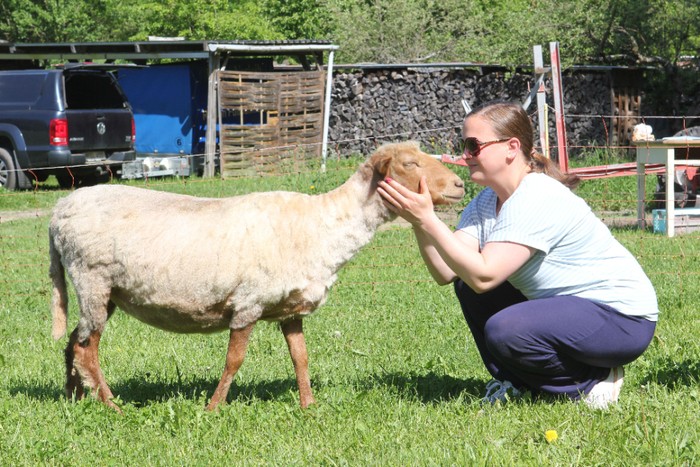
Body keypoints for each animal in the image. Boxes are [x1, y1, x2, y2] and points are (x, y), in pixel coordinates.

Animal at [48, 141, 465, 412]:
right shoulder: (248, 303)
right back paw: (111, 405)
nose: (460, 185)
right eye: (409, 163)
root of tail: (59, 210)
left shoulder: (290, 309)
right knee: (86, 349)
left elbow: (301, 357)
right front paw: (213, 408)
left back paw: (75, 398)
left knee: (74, 342)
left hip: (105, 291)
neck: (324, 225)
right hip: (92, 278)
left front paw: (309, 406)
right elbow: (234, 361)